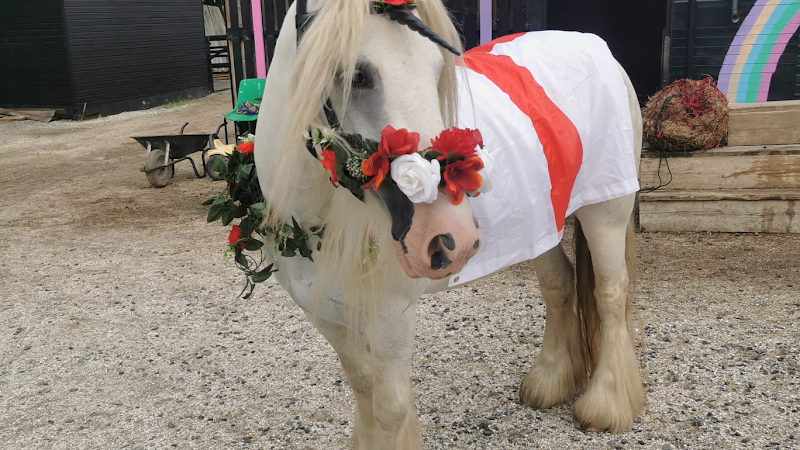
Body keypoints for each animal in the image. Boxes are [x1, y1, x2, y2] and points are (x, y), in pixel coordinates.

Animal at [252, 0, 644, 447]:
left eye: (437, 66)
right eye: (357, 75)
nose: (450, 236)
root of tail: (598, 47)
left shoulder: (390, 320)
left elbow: (390, 409)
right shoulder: (327, 317)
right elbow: (362, 386)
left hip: (606, 211)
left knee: (609, 294)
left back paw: (606, 404)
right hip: (539, 227)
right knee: (559, 284)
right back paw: (549, 381)